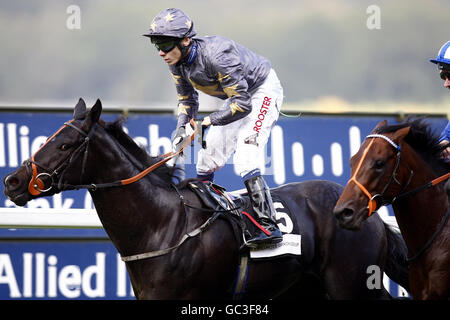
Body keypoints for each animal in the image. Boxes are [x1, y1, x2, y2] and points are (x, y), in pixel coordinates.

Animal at [4, 99, 412, 298]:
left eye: (66, 144)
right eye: (50, 138)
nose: (13, 181)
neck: (162, 225)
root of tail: (367, 210)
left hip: (350, 283)